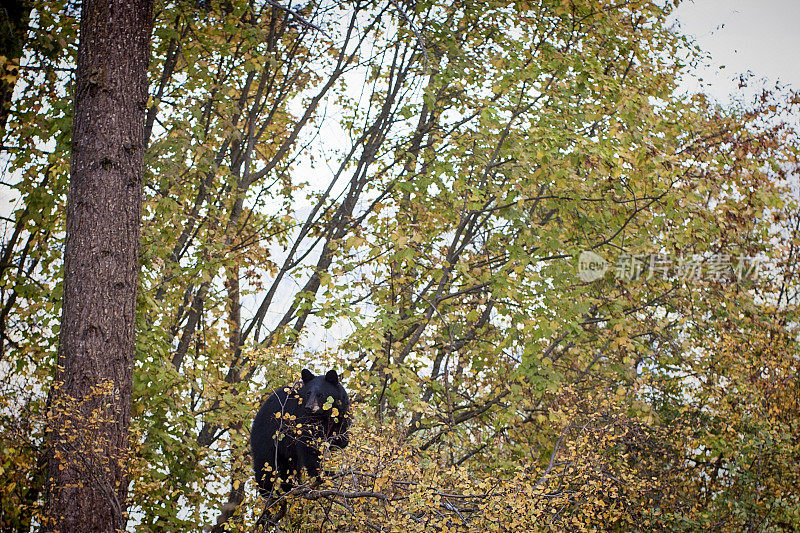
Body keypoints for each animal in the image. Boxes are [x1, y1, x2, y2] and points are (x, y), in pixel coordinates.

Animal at [250, 366, 350, 494]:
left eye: (320, 395)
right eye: (308, 393)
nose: (309, 407)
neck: (324, 416)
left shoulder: (342, 415)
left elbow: (342, 435)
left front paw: (339, 440)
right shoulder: (303, 419)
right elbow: (308, 446)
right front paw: (322, 473)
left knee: (289, 467)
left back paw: (291, 486)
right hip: (265, 439)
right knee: (265, 466)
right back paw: (268, 492)